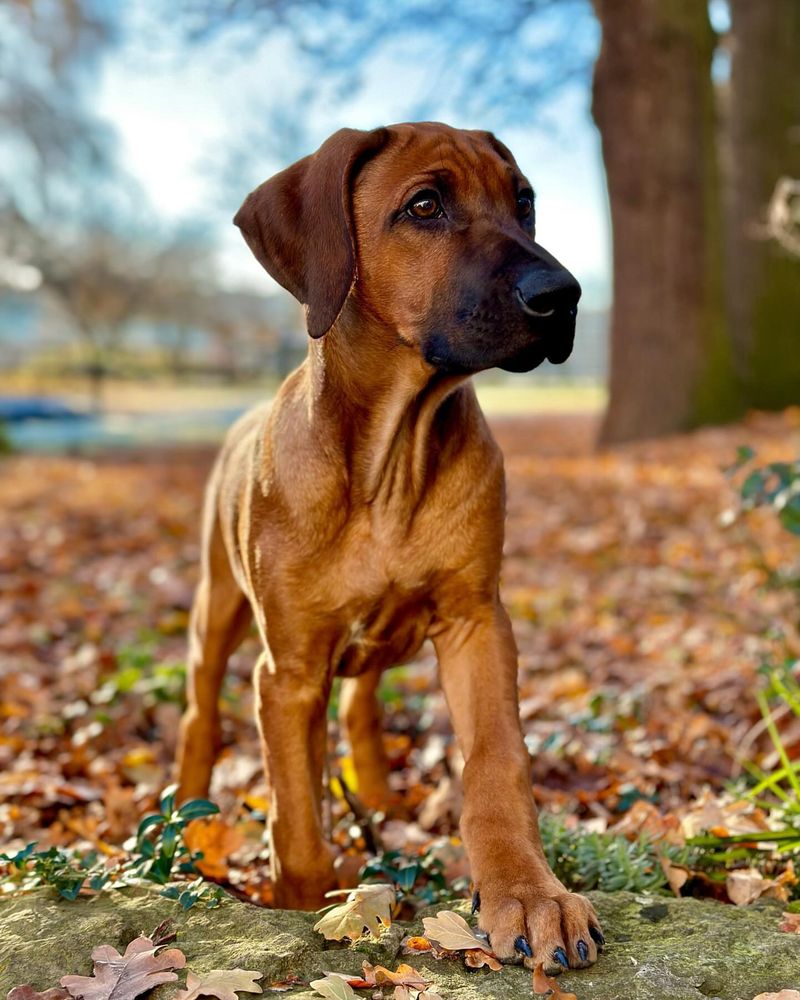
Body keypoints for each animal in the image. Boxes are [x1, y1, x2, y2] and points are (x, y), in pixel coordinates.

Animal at [175, 121, 600, 972]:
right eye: (424, 205)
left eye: (525, 201)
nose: (563, 295)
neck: (390, 462)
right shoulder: (288, 671)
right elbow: (297, 818)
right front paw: (303, 905)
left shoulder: (477, 622)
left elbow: (497, 763)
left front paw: (529, 895)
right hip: (217, 610)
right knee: (200, 712)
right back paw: (187, 816)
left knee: (362, 706)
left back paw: (374, 793)